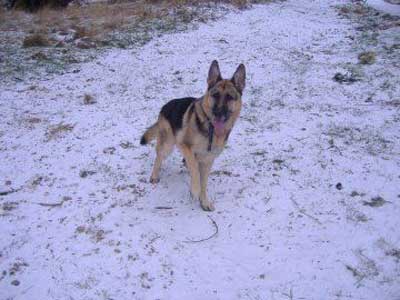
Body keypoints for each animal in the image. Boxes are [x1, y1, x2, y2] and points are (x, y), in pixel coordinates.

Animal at [141, 61, 247, 211]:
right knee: (160, 157)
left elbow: (203, 182)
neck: (211, 130)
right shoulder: (184, 146)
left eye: (229, 97)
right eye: (215, 95)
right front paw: (195, 190)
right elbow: (195, 171)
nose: (218, 114)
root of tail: (165, 106)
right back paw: (155, 175)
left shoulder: (208, 160)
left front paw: (204, 202)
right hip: (168, 144)